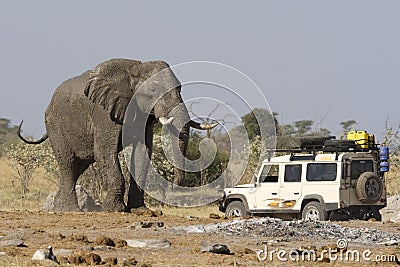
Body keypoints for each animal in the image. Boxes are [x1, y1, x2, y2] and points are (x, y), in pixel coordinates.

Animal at [18, 58, 217, 211]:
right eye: (153, 91)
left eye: (180, 89)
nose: (174, 185)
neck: (135, 70)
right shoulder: (103, 113)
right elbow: (105, 152)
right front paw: (116, 209)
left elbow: (142, 153)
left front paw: (140, 210)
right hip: (55, 126)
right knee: (68, 164)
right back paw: (70, 210)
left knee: (76, 168)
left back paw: (58, 207)